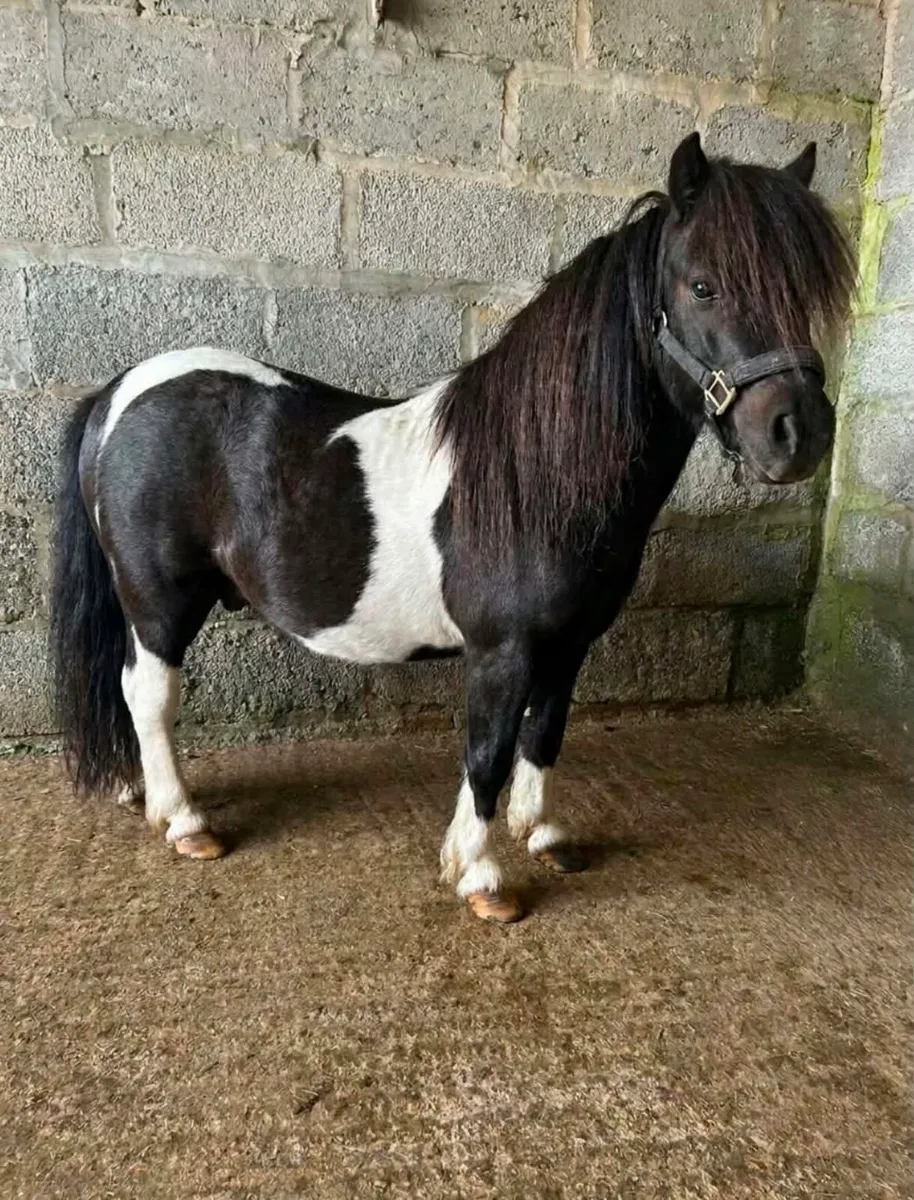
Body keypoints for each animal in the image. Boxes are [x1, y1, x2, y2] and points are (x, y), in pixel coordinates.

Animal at [49, 132, 855, 923]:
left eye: (807, 294)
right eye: (703, 286)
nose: (800, 434)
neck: (536, 475)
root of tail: (119, 391)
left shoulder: (568, 646)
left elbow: (544, 732)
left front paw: (544, 834)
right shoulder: (503, 651)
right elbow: (488, 753)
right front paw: (481, 876)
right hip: (160, 600)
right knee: (148, 694)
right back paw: (185, 821)